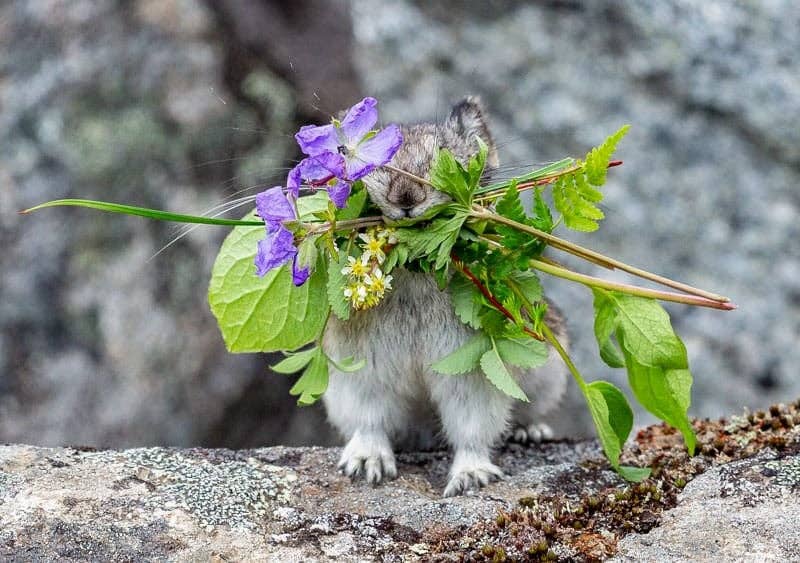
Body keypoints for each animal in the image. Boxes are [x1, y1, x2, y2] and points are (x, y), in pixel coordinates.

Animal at [322, 97, 569, 497]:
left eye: (444, 156)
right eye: (370, 160)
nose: (407, 196)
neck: (414, 273)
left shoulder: (472, 370)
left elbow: (472, 426)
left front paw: (471, 478)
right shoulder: (360, 367)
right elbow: (370, 418)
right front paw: (366, 466)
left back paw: (531, 432)